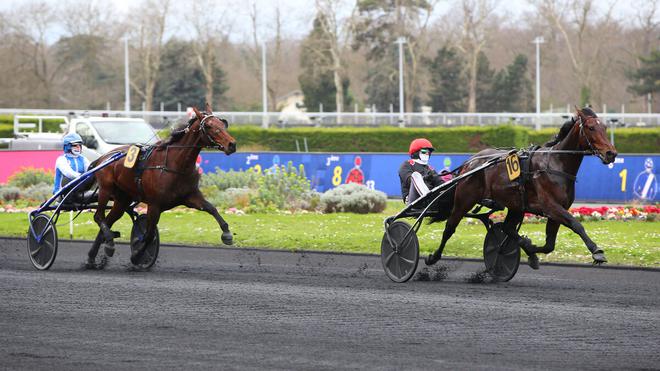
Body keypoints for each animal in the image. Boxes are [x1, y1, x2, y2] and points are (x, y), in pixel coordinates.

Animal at [85, 104, 235, 268]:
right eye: (208, 126)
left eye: (223, 124)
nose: (232, 144)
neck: (175, 165)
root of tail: (103, 157)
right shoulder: (155, 205)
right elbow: (149, 235)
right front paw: (137, 255)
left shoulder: (191, 196)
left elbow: (211, 208)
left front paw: (227, 234)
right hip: (106, 190)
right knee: (99, 216)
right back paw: (109, 245)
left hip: (122, 199)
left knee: (108, 221)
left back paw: (93, 255)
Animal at [428, 108, 620, 270]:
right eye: (590, 128)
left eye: (604, 127)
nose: (611, 153)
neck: (556, 163)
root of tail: (469, 162)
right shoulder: (551, 206)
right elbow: (576, 224)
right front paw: (597, 251)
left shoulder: (556, 211)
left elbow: (549, 245)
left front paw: (531, 249)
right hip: (465, 199)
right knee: (450, 227)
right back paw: (433, 256)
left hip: (516, 205)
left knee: (508, 228)